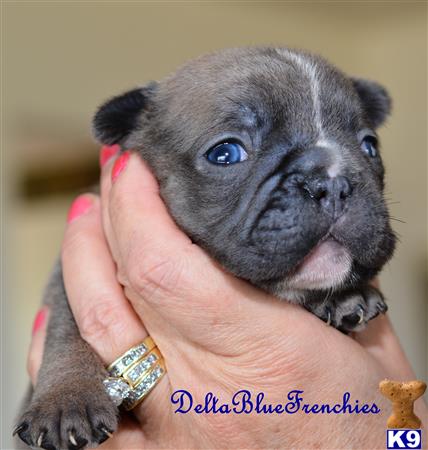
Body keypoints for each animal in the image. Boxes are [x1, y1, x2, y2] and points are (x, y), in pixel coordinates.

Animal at [14, 47, 394, 448]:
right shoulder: (69, 273)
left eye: (370, 146)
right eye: (225, 153)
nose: (333, 182)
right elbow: (67, 327)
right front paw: (67, 397)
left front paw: (346, 295)